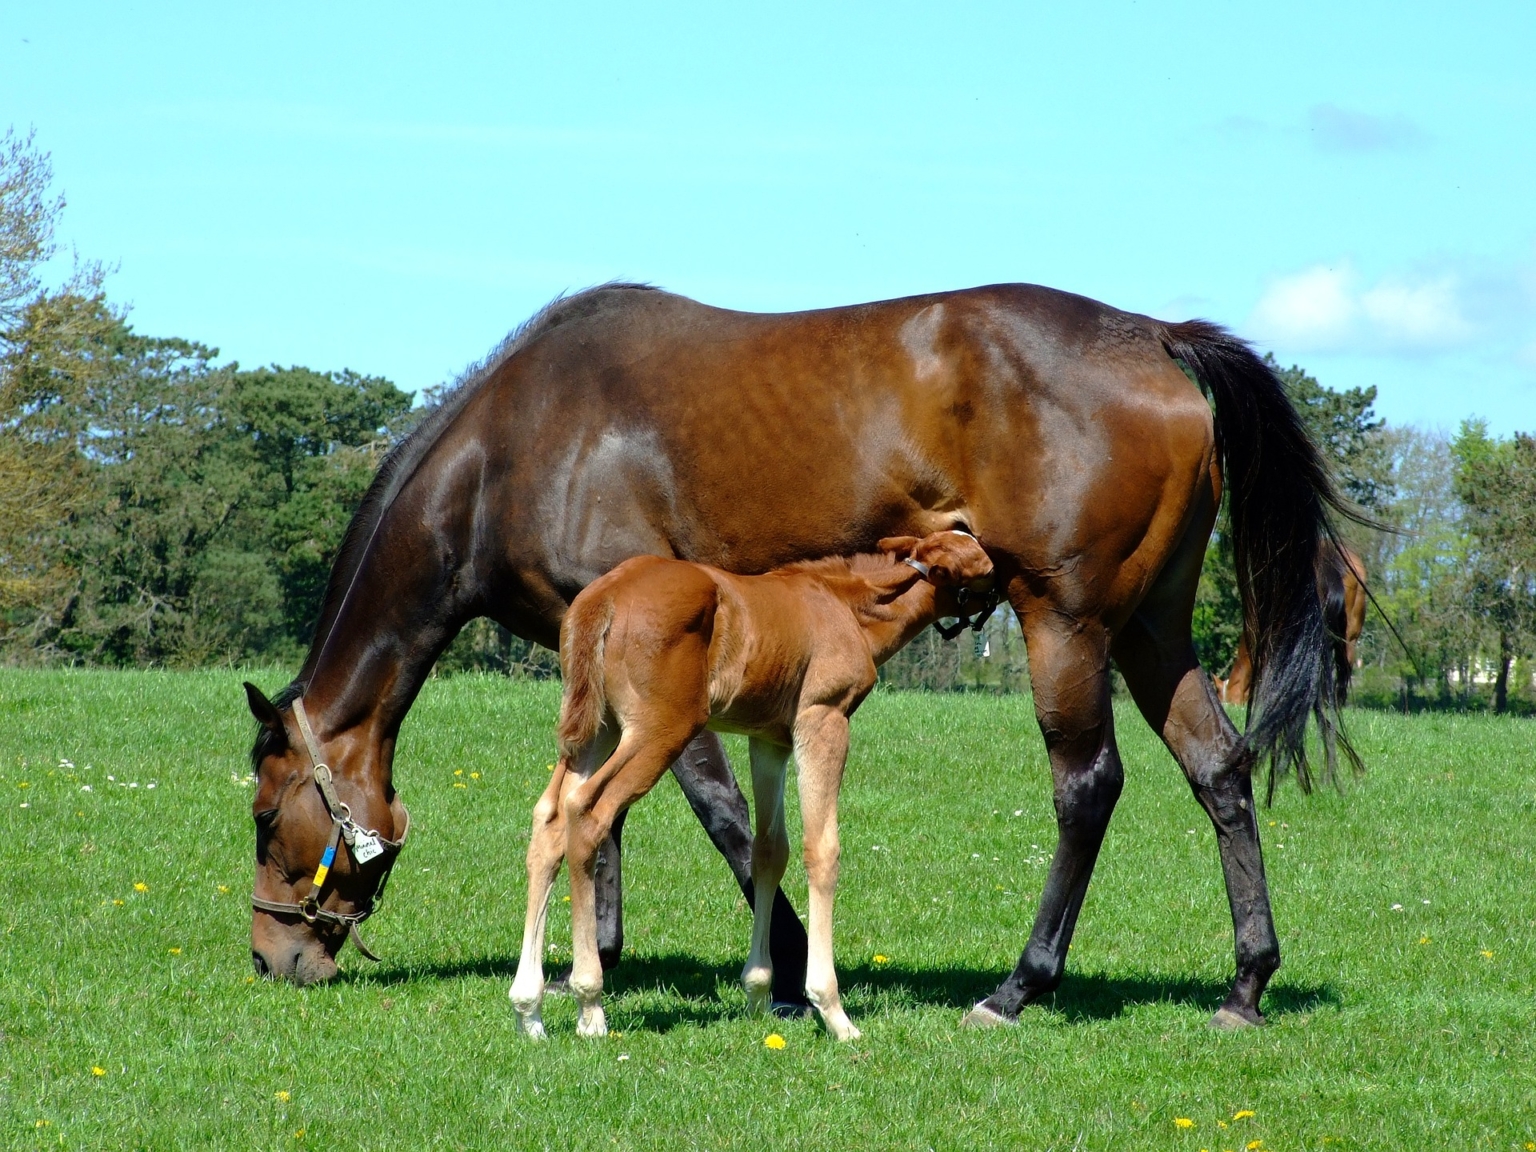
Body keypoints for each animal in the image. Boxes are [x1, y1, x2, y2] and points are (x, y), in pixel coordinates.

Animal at [509, 531, 995, 1044]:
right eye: (985, 564)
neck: (847, 606)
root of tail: (603, 595)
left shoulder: (769, 741)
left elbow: (769, 851)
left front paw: (759, 994)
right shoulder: (823, 718)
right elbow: (821, 849)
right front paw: (832, 1010)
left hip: (597, 727)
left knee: (550, 816)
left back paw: (529, 1008)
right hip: (659, 729)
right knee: (589, 811)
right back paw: (590, 1004)